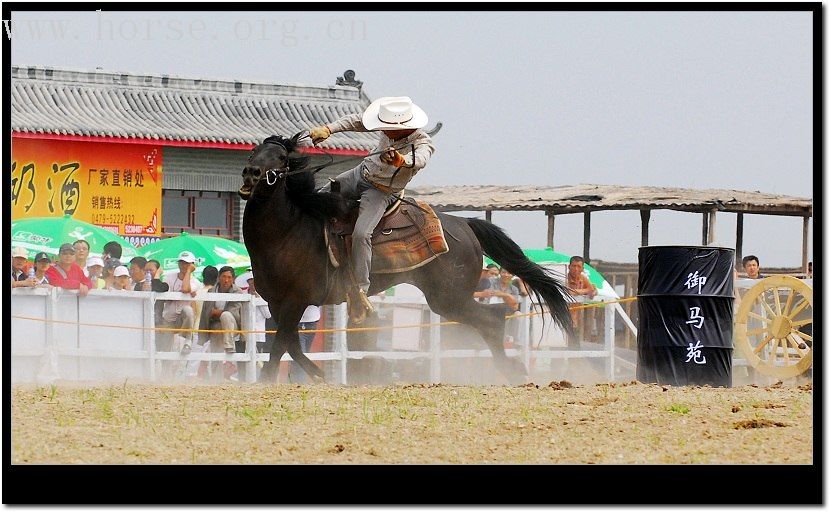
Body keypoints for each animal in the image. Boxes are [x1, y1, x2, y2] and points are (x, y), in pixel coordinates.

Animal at [239, 134, 572, 386]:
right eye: (255, 151)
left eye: (281, 157)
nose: (251, 173)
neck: (290, 230)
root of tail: (465, 224)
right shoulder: (276, 302)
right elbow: (291, 344)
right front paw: (320, 374)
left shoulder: (296, 300)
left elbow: (280, 344)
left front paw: (265, 380)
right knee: (493, 319)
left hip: (449, 298)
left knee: (492, 319)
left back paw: (512, 371)